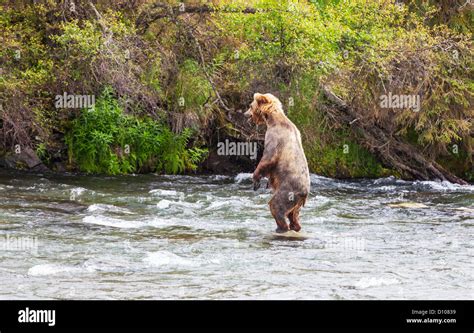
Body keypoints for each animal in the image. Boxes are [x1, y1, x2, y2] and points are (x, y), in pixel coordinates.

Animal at [244, 91, 312, 231]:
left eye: (250, 106)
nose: (245, 114)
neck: (272, 120)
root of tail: (304, 194)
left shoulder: (275, 137)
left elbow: (268, 158)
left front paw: (256, 180)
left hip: (287, 191)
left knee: (276, 205)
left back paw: (281, 227)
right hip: (295, 202)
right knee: (294, 214)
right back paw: (295, 226)